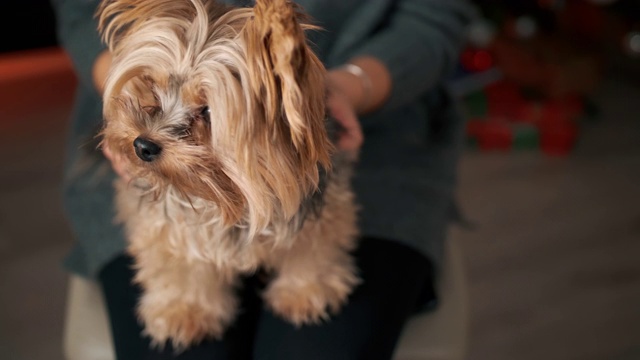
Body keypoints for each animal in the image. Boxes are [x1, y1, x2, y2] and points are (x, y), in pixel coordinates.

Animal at [99, 0, 360, 350]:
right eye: (152, 86)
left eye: (208, 111)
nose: (143, 145)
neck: (228, 193)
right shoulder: (172, 221)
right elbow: (181, 261)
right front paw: (185, 311)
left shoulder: (320, 208)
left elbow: (313, 248)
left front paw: (305, 292)